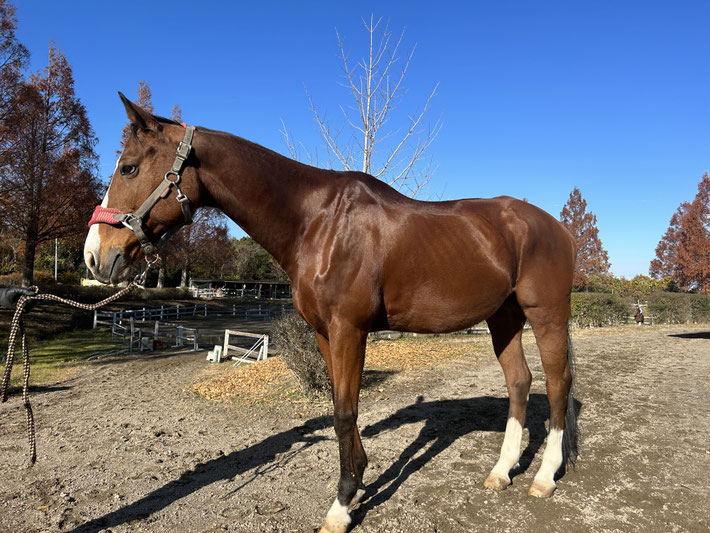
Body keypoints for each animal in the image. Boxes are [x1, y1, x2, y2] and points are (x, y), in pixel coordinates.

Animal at [84, 93, 578, 533]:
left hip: (546, 314)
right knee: (520, 382)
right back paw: (502, 471)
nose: (94, 256)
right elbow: (343, 408)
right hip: (504, 317)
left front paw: (340, 507)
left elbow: (344, 411)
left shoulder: (348, 331)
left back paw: (543, 477)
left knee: (558, 385)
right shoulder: (325, 333)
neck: (317, 221)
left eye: (128, 167)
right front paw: (358, 480)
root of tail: (555, 226)